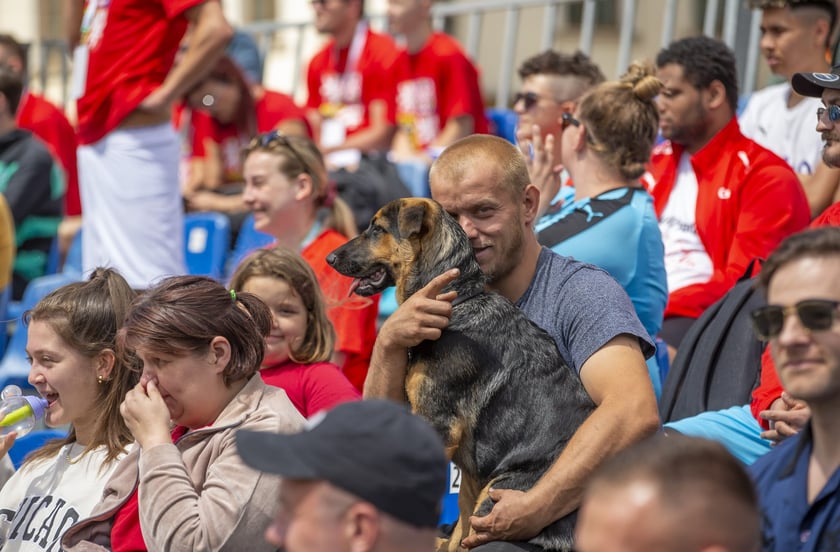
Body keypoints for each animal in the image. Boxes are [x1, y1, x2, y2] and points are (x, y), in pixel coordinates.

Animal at [324, 196, 592, 548]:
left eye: (377, 229)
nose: (329, 258)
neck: (456, 299)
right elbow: (455, 533)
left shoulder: (437, 424)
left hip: (499, 494)